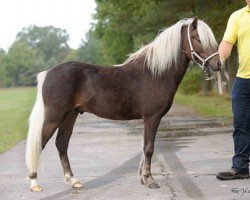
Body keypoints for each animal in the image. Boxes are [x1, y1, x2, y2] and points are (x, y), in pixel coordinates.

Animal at [25, 18, 221, 191]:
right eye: (197, 38)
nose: (217, 64)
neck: (155, 73)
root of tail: (48, 73)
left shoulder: (148, 119)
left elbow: (144, 146)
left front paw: (143, 178)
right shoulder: (152, 117)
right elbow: (149, 148)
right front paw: (150, 180)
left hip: (70, 115)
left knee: (61, 144)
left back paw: (73, 181)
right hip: (55, 117)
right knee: (40, 143)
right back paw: (34, 183)